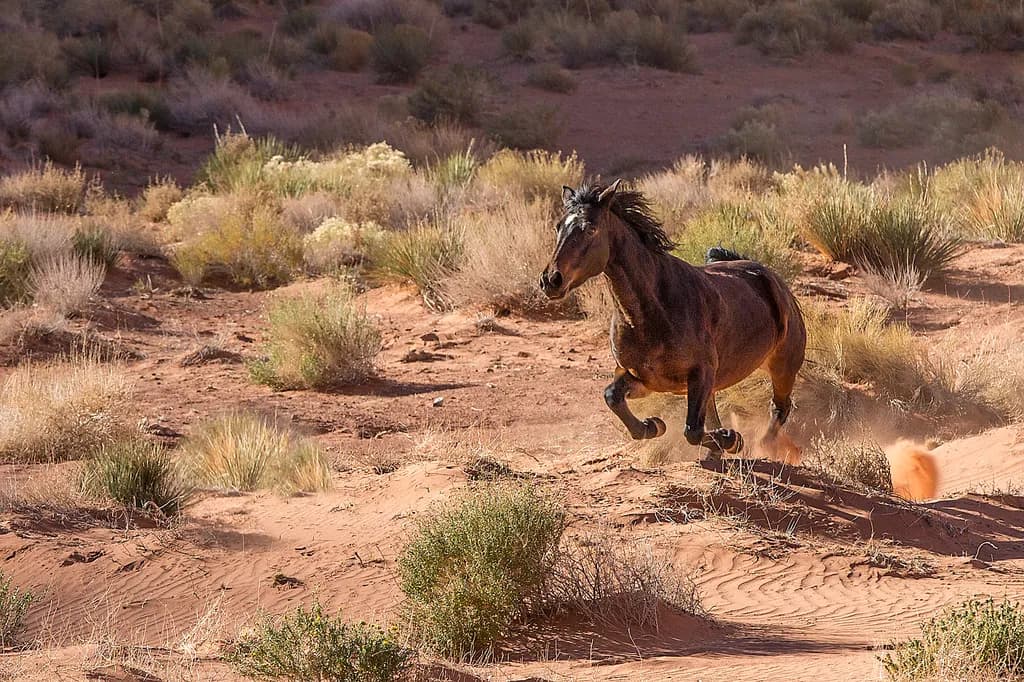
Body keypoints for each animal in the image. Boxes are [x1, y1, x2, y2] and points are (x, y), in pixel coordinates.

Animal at [539, 180, 806, 457]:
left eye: (591, 228)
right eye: (558, 226)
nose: (551, 280)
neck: (651, 313)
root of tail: (768, 276)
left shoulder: (700, 373)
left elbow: (693, 431)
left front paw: (731, 439)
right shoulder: (643, 378)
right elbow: (612, 397)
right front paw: (653, 425)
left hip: (783, 365)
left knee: (779, 407)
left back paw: (759, 443)